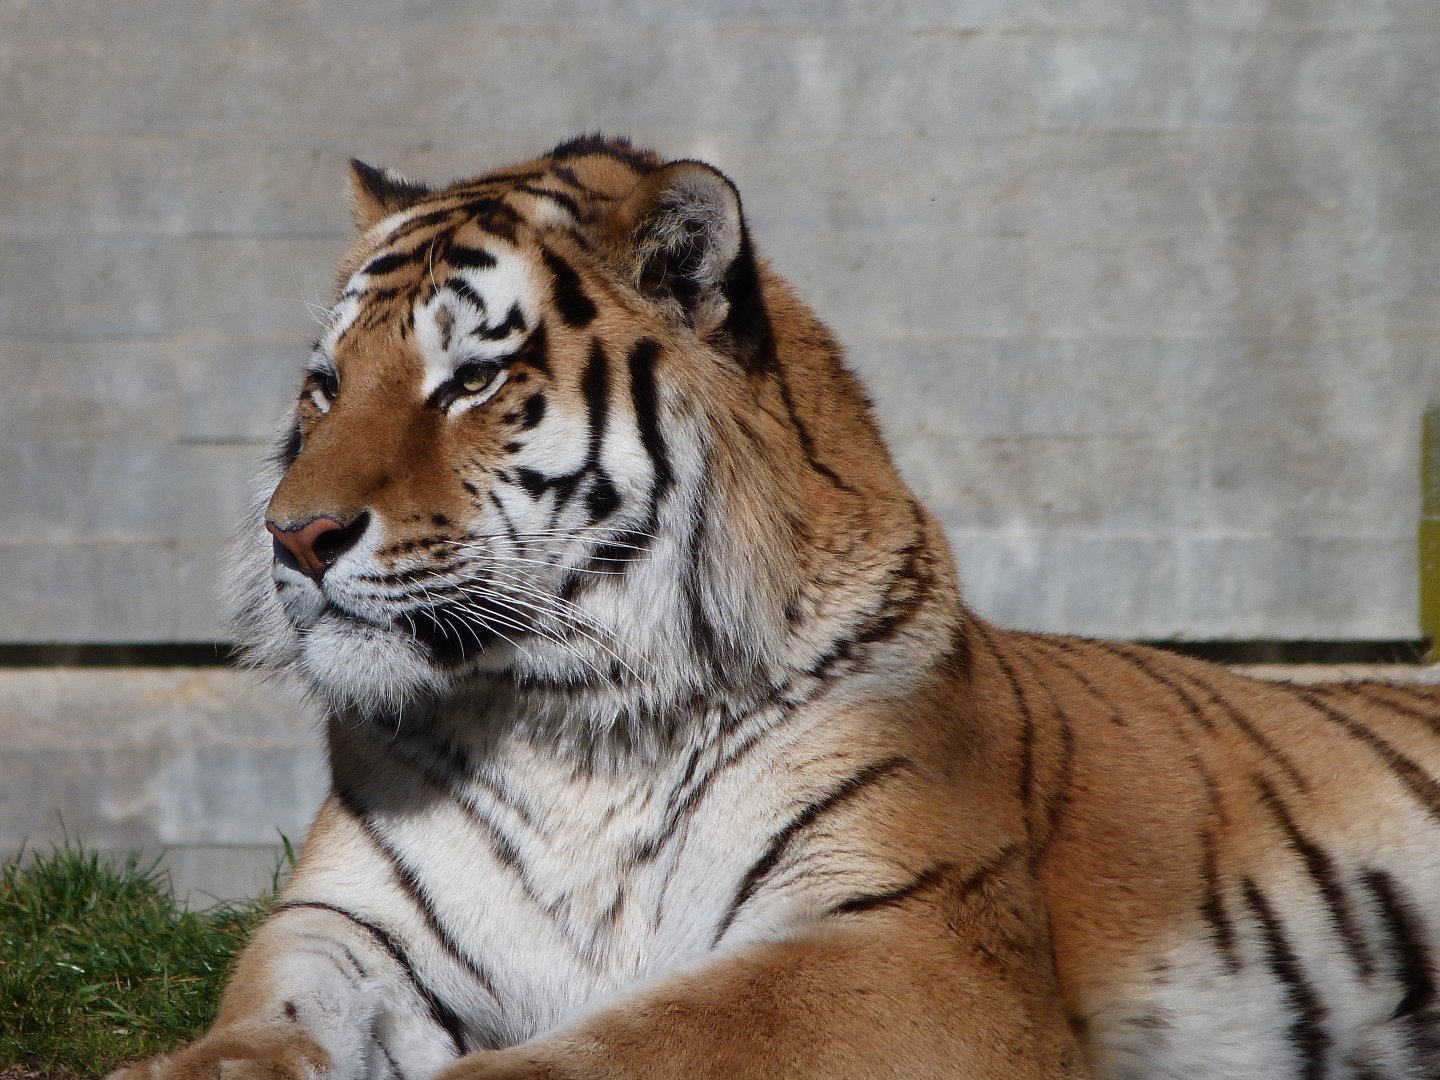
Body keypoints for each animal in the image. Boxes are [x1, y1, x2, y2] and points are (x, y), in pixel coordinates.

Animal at [108, 134, 1440, 1080]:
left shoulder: (908, 943)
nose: (295, 533)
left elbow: (618, 1049)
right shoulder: (347, 929)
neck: (565, 721)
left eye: (473, 380)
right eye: (327, 385)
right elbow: (254, 1031)